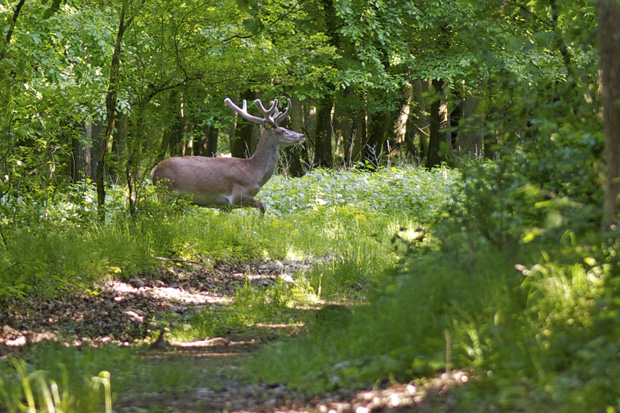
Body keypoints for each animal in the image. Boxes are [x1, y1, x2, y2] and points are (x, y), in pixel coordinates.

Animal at [151, 96, 306, 212]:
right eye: (282, 131)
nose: (302, 135)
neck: (255, 171)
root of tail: (154, 170)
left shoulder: (225, 206)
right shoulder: (238, 195)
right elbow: (263, 206)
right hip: (166, 192)